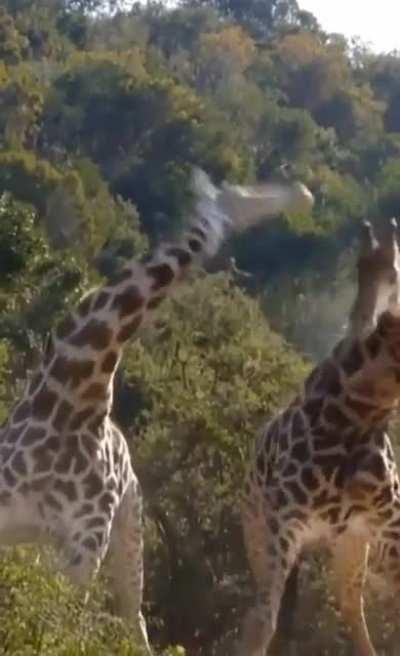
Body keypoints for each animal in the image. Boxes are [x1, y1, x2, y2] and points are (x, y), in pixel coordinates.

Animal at [0, 167, 314, 653]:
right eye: (240, 194)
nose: (303, 195)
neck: (73, 399)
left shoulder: (84, 545)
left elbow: (51, 625)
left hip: (126, 533)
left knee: (134, 619)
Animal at [236, 218, 400, 656]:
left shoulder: (386, 523)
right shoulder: (282, 522)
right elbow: (262, 622)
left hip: (352, 544)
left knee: (349, 603)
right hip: (259, 535)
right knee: (271, 608)